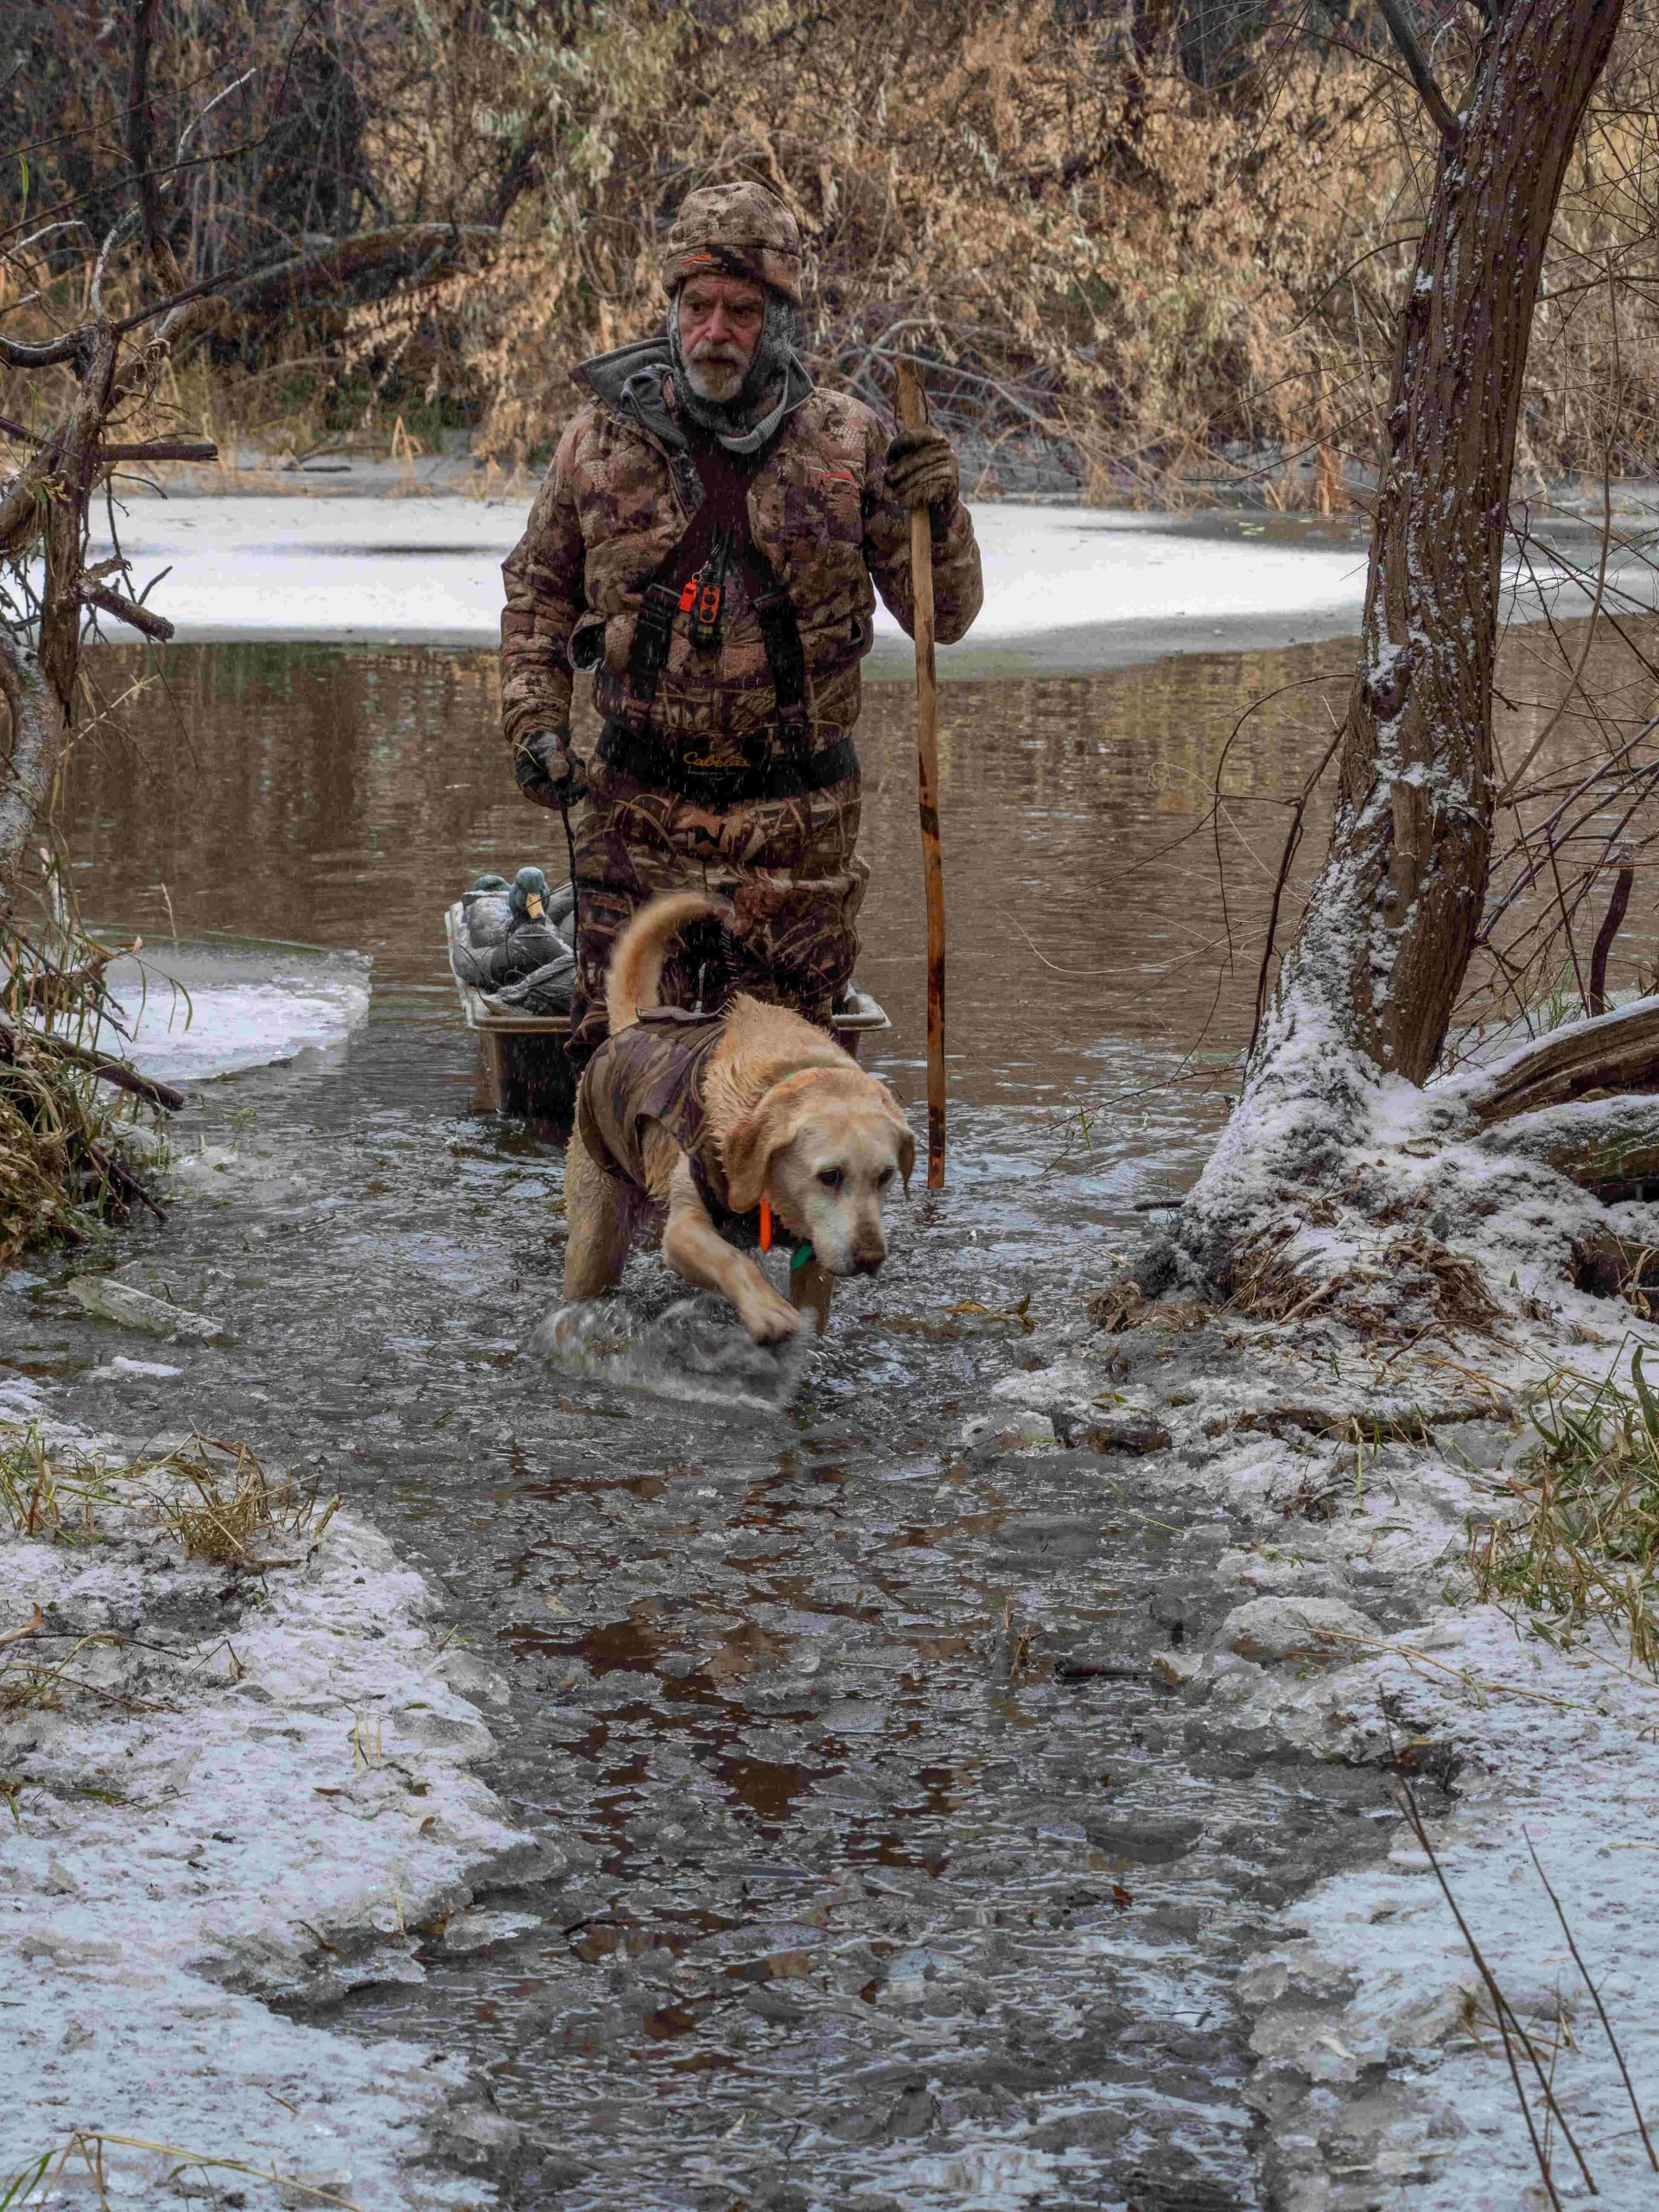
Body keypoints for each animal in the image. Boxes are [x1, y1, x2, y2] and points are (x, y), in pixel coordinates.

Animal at [566, 889, 915, 1336]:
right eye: (830, 1176)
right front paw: (767, 1309)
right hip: (595, 1240)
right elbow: (733, 1261)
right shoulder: (683, 1232)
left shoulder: (817, 1252)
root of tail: (628, 1025)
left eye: (886, 1176)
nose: (871, 1258)